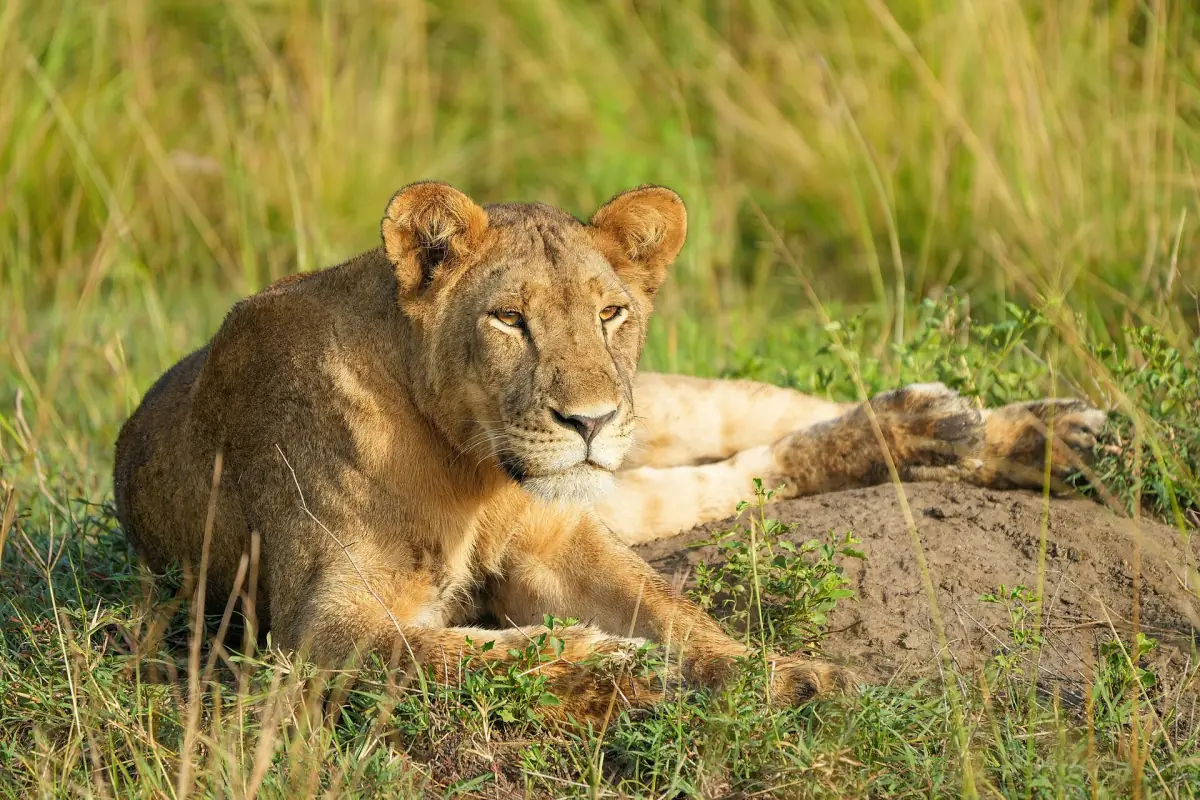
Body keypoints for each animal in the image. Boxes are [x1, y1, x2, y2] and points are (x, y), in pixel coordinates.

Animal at [113, 181, 1106, 720]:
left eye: (610, 313)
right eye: (508, 320)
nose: (587, 420)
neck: (470, 470)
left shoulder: (558, 539)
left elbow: (677, 612)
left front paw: (786, 676)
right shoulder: (317, 631)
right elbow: (453, 655)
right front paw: (618, 668)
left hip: (659, 411)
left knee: (763, 427)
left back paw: (1017, 432)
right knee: (729, 478)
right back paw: (977, 435)